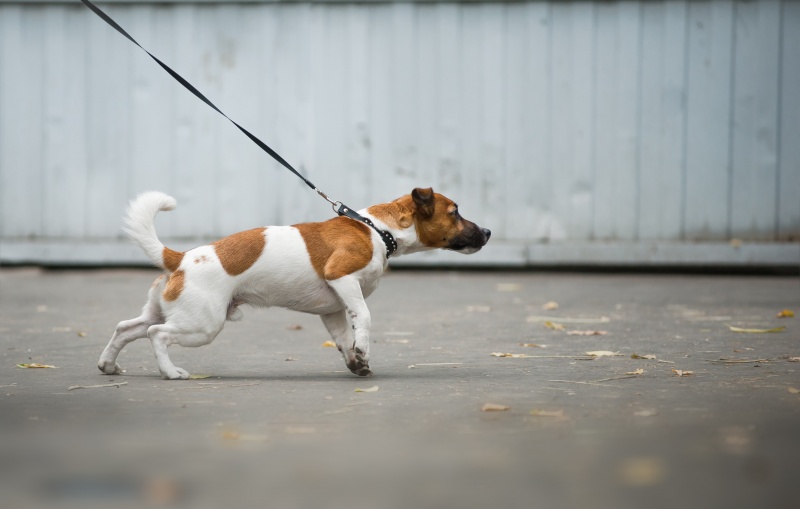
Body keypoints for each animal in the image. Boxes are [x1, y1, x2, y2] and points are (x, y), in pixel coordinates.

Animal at [97, 187, 490, 378]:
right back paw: (170, 372)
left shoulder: (333, 308)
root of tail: (180, 258)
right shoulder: (343, 278)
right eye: (455, 212)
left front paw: (356, 362)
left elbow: (343, 339)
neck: (377, 230)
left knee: (126, 328)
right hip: (202, 325)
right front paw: (363, 350)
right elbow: (363, 318)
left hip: (166, 312)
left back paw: (108, 365)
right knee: (156, 335)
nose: (487, 232)